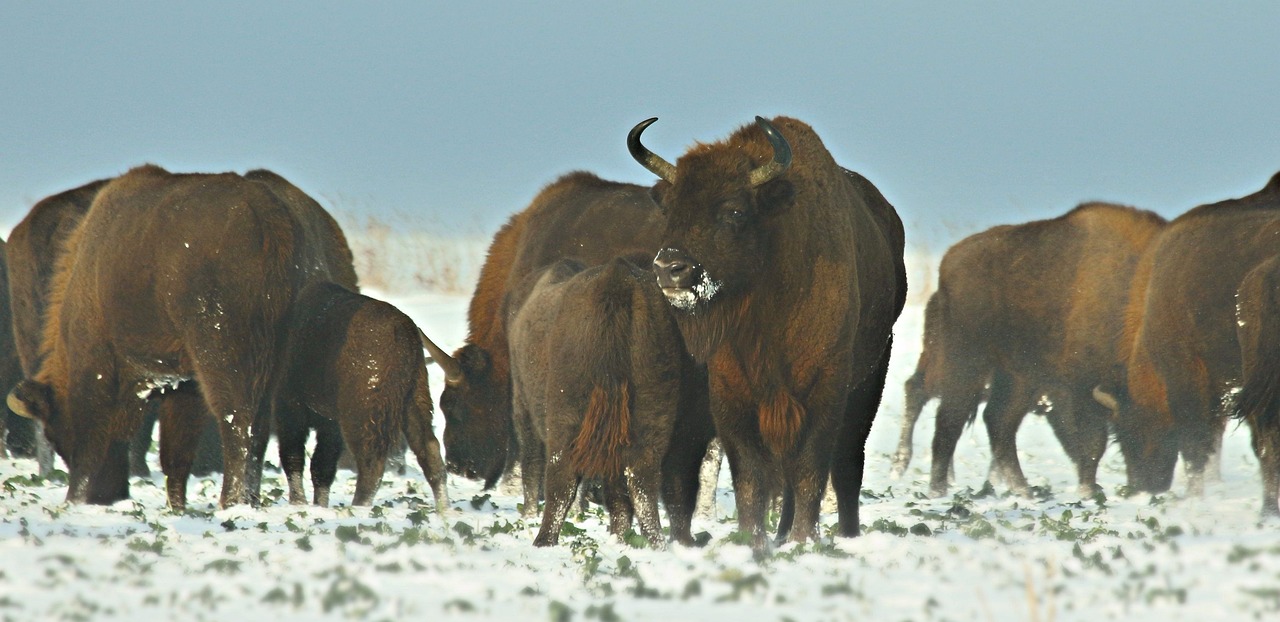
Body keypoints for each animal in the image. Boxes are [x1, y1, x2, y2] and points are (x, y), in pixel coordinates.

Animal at [7, 165, 358, 508]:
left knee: (237, 420)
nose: (107, 495)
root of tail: (270, 217)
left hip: (223, 354)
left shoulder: (99, 363)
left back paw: (231, 500)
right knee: (256, 428)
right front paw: (176, 504)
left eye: (58, 432)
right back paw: (250, 499)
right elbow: (176, 452)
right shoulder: (184, 383)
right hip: (276, 362)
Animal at [275, 281, 448, 509]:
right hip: (414, 399)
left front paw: (299, 502)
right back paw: (445, 509)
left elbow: (294, 457)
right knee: (430, 450)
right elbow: (322, 466)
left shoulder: (291, 406)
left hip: (361, 414)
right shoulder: (329, 423)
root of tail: (404, 332)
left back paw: (358, 506)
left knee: (371, 463)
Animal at [632, 116, 906, 550]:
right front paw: (754, 539)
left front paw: (805, 539)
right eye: (671, 208)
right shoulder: (732, 392)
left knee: (848, 462)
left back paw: (846, 533)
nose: (670, 269)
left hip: (871, 377)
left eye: (735, 210)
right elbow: (751, 475)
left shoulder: (825, 387)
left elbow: (812, 468)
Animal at [893, 203, 1166, 497]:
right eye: (1135, 430)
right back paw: (933, 486)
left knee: (995, 420)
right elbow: (1092, 441)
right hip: (966, 365)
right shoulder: (1081, 389)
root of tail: (948, 265)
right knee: (945, 416)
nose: (1150, 484)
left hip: (1017, 378)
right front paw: (1088, 490)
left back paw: (1021, 489)